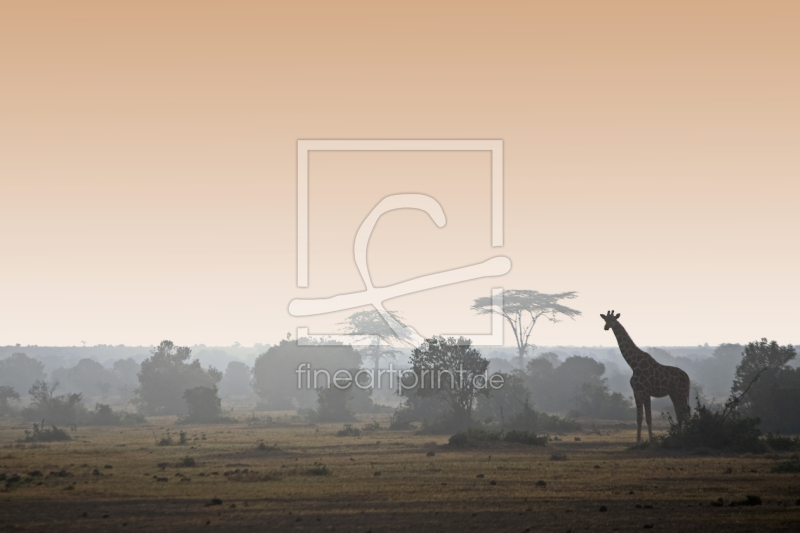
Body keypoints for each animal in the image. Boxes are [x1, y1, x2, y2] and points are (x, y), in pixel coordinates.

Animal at [604, 310, 692, 442]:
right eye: (605, 320)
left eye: (613, 319)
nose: (606, 327)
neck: (634, 365)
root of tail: (688, 378)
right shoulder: (636, 393)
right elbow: (639, 418)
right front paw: (638, 441)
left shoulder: (646, 392)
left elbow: (649, 418)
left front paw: (651, 440)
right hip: (674, 393)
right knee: (680, 414)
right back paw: (679, 437)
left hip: (681, 393)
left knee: (686, 414)